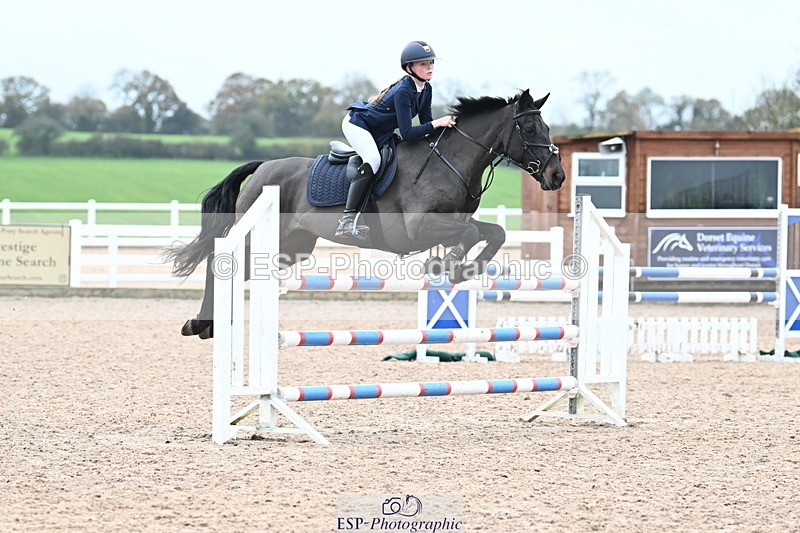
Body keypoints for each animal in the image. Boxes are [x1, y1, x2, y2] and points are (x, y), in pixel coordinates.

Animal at [167, 89, 566, 339]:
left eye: (548, 127)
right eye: (530, 127)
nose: (557, 175)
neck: (450, 161)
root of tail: (263, 166)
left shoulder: (456, 220)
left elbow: (494, 233)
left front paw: (458, 267)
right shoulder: (419, 227)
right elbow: (467, 236)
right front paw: (448, 265)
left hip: (293, 247)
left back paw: (211, 324)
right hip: (257, 234)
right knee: (219, 264)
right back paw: (200, 323)